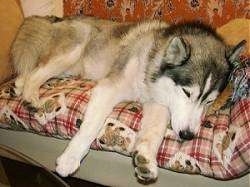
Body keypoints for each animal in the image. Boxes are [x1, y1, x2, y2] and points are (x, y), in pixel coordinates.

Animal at [10, 16, 245, 181]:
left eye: (209, 101)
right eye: (187, 93)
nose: (188, 135)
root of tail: (57, 18)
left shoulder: (158, 104)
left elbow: (154, 131)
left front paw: (146, 159)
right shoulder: (109, 88)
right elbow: (90, 127)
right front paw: (71, 158)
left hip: (71, 68)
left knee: (28, 74)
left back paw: (20, 87)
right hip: (73, 50)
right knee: (35, 73)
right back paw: (30, 96)